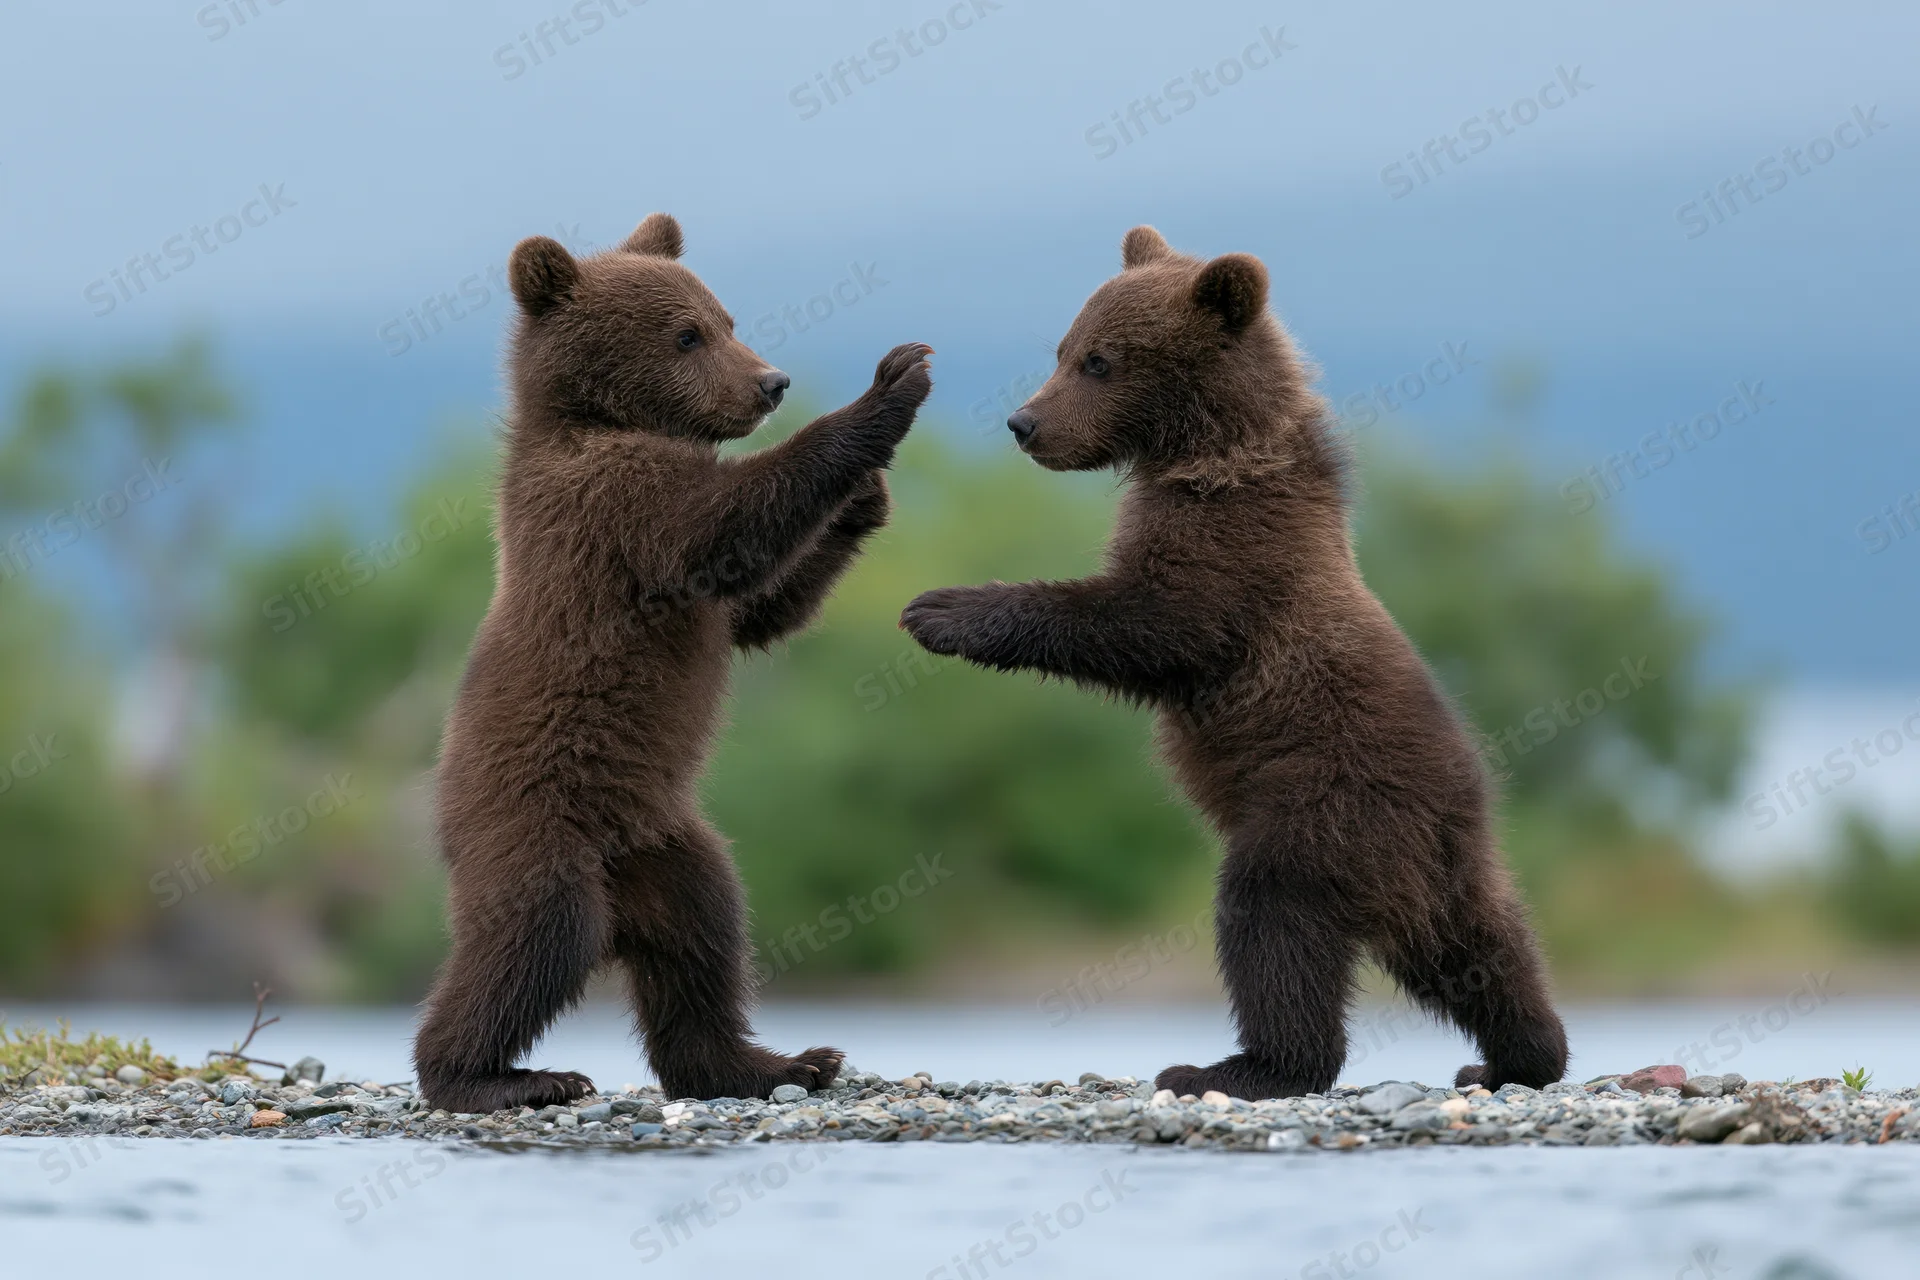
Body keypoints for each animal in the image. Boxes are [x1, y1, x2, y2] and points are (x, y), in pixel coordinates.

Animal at [412, 211, 934, 1113]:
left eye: (726, 319)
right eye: (687, 334)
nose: (771, 382)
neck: (602, 420)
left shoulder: (694, 591)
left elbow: (761, 609)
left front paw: (865, 499)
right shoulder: (614, 506)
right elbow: (724, 529)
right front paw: (889, 391)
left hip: (671, 845)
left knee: (706, 943)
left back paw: (778, 1062)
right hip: (535, 826)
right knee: (535, 940)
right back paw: (494, 1076)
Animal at [900, 225, 1568, 1099]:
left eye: (1099, 361)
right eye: (1064, 348)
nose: (1024, 422)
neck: (1208, 455)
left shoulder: (1234, 554)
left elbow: (1149, 623)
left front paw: (940, 611)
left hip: (1319, 811)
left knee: (1271, 920)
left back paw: (1243, 1065)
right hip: (1449, 865)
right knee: (1482, 949)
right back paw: (1516, 1056)